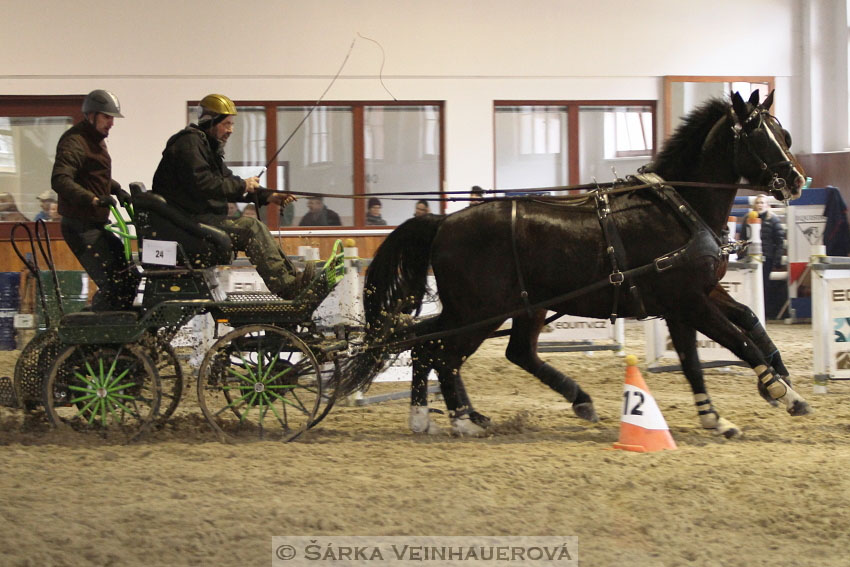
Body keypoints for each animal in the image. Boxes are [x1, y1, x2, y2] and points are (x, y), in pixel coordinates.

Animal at [340, 92, 808, 440]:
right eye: (760, 137)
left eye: (783, 132)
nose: (797, 180)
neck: (678, 209)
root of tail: (443, 221)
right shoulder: (688, 301)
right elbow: (736, 341)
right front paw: (778, 390)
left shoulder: (690, 299)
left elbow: (735, 330)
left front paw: (744, 401)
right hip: (481, 312)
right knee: (440, 351)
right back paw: (457, 418)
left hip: (511, 309)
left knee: (463, 348)